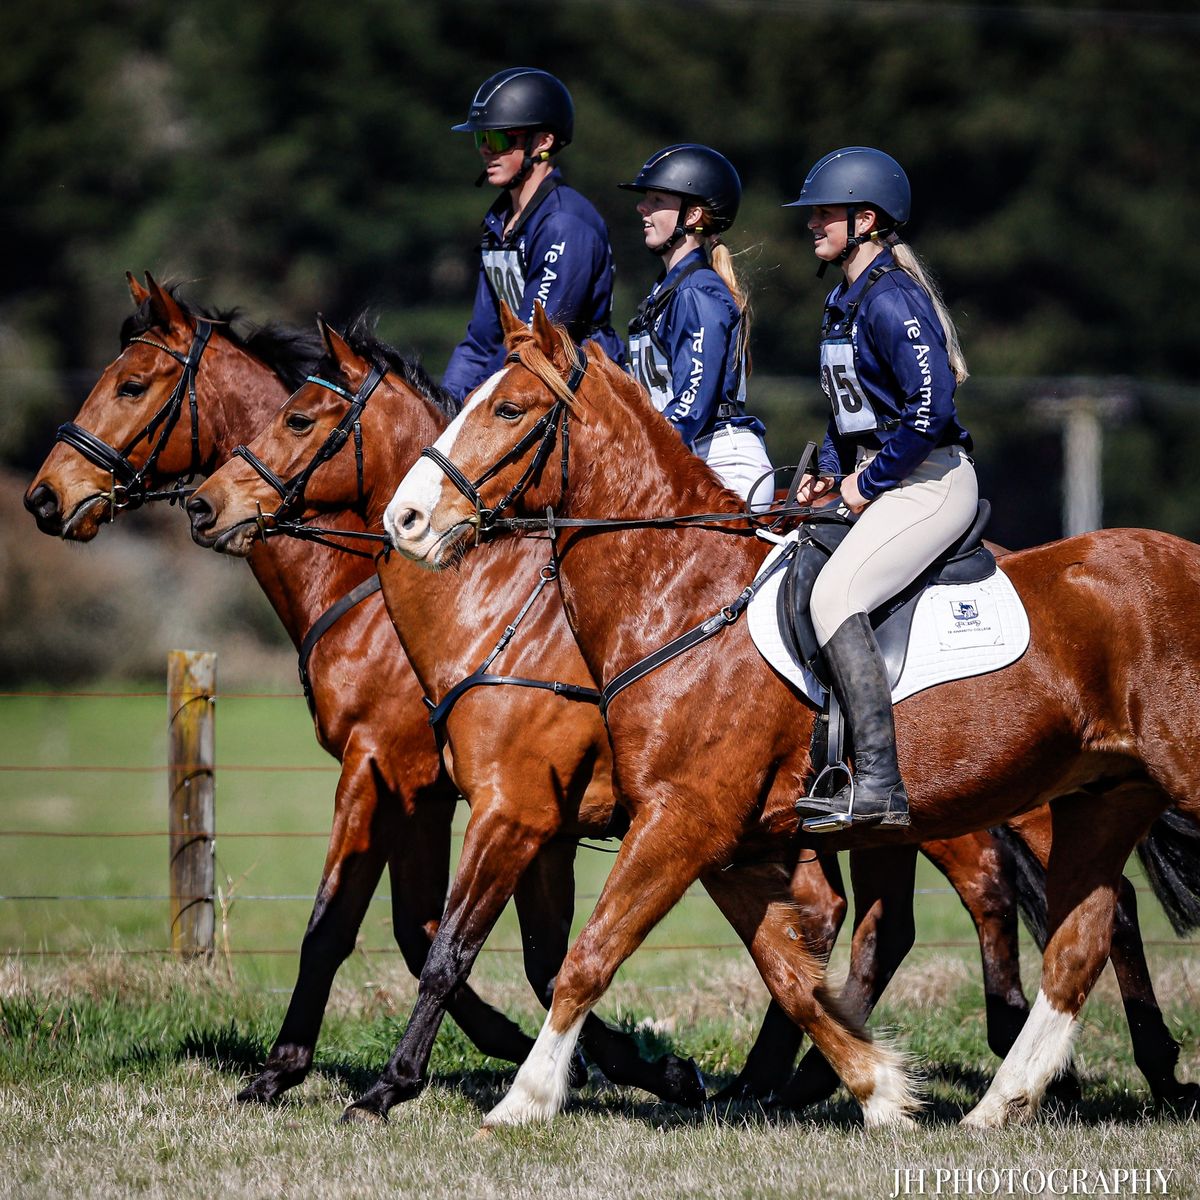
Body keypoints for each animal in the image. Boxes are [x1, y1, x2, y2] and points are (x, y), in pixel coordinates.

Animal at [182, 314, 1195, 1118]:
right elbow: (771, 963)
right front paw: (861, 1086)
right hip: (1084, 797)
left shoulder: (556, 811)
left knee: (1038, 910)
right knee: (1051, 927)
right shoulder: (680, 832)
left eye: (510, 411)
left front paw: (454, 1090)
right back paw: (985, 1093)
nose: (407, 521)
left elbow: (508, 949)